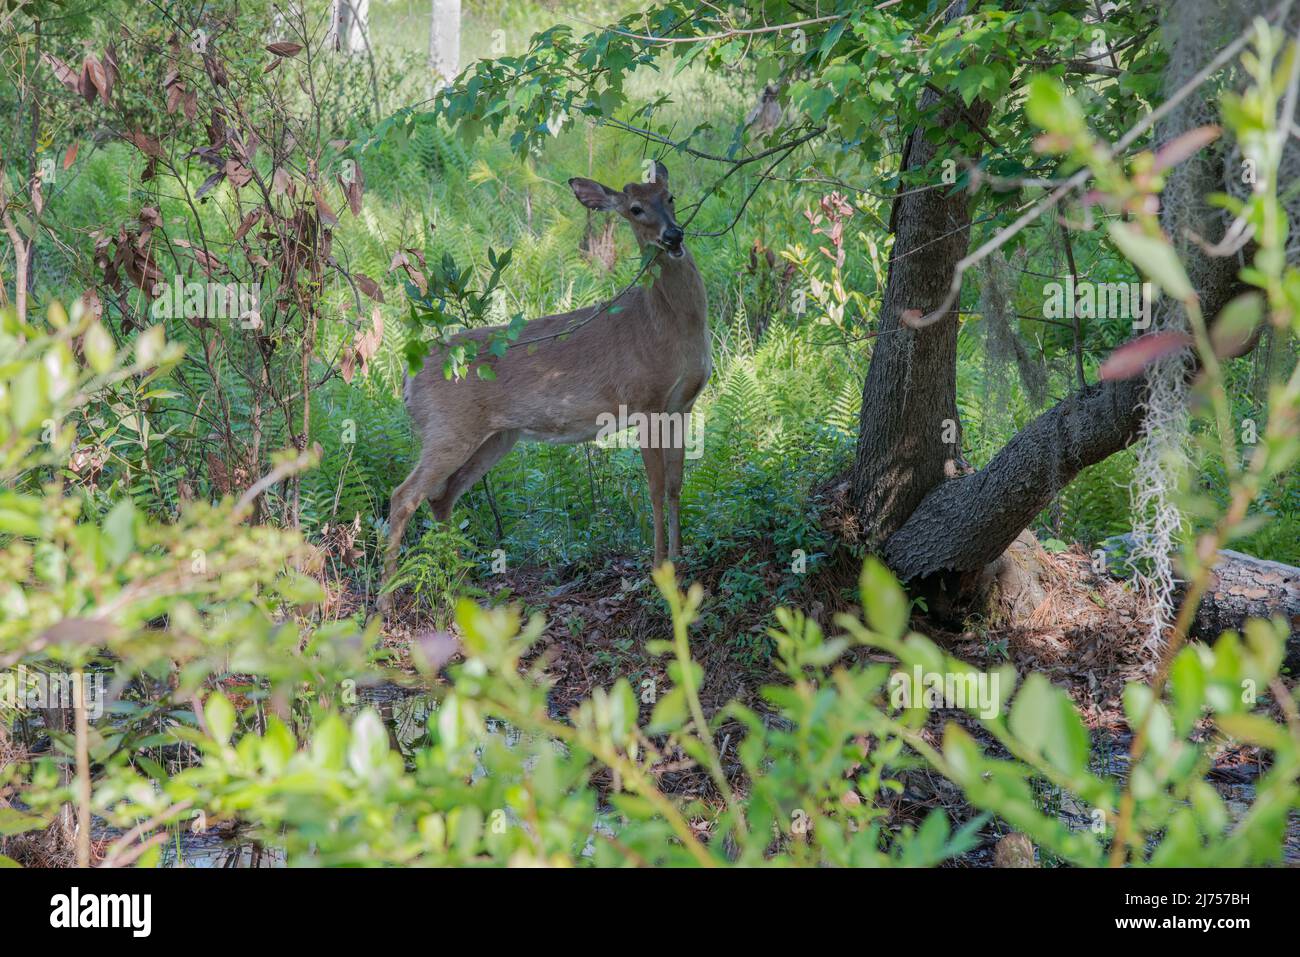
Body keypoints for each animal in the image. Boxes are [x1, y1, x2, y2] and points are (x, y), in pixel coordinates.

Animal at [379, 162, 712, 613]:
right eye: (635, 209)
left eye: (670, 197)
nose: (673, 236)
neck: (666, 324)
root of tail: (408, 378)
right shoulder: (644, 401)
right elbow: (657, 488)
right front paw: (659, 570)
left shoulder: (682, 405)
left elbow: (677, 485)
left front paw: (681, 559)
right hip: (447, 427)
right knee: (403, 496)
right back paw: (385, 602)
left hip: (496, 437)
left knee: (440, 497)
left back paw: (463, 589)